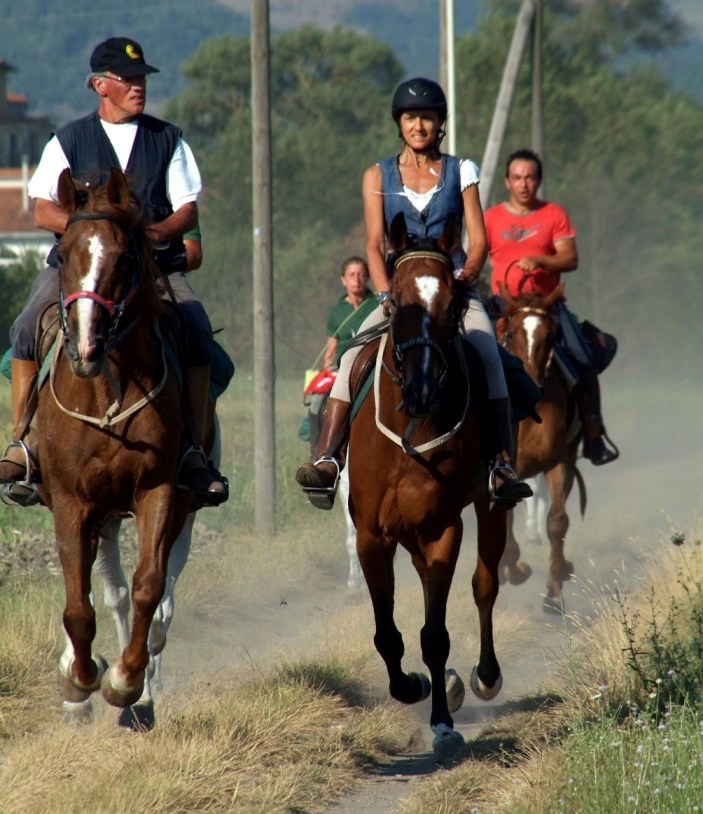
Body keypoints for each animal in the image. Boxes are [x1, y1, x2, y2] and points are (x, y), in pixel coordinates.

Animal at [36, 166, 192, 720]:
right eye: (63, 254)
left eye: (123, 258)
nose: (86, 346)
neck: (108, 388)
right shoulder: (69, 501)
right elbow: (77, 603)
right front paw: (82, 676)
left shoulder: (159, 491)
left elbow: (149, 588)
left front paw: (127, 681)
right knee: (95, 587)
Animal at [350, 214, 508, 760]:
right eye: (396, 303)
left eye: (452, 305)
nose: (420, 390)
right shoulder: (372, 536)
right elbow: (387, 634)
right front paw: (411, 686)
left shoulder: (443, 528)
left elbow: (435, 633)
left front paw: (442, 723)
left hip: (490, 507)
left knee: (485, 585)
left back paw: (483, 676)